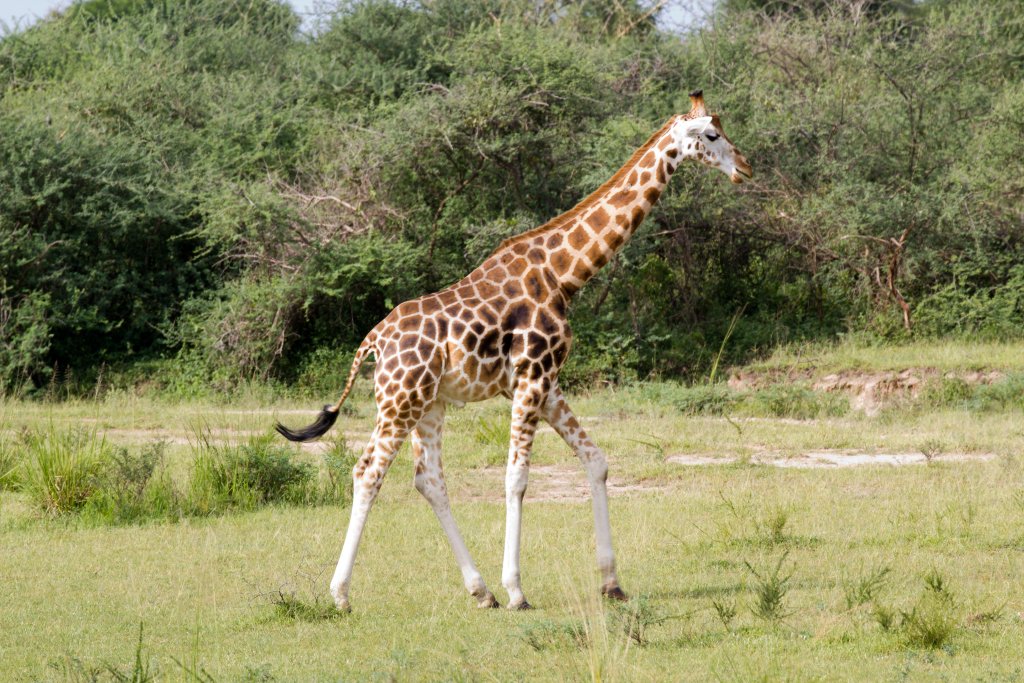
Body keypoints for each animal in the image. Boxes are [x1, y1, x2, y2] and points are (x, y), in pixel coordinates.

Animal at [277, 90, 752, 611]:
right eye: (712, 135)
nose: (745, 168)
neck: (565, 274)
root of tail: (373, 343)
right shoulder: (531, 377)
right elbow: (517, 478)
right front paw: (517, 590)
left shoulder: (546, 382)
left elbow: (596, 460)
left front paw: (610, 582)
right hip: (399, 402)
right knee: (367, 473)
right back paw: (341, 595)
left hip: (429, 404)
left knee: (429, 480)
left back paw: (478, 589)